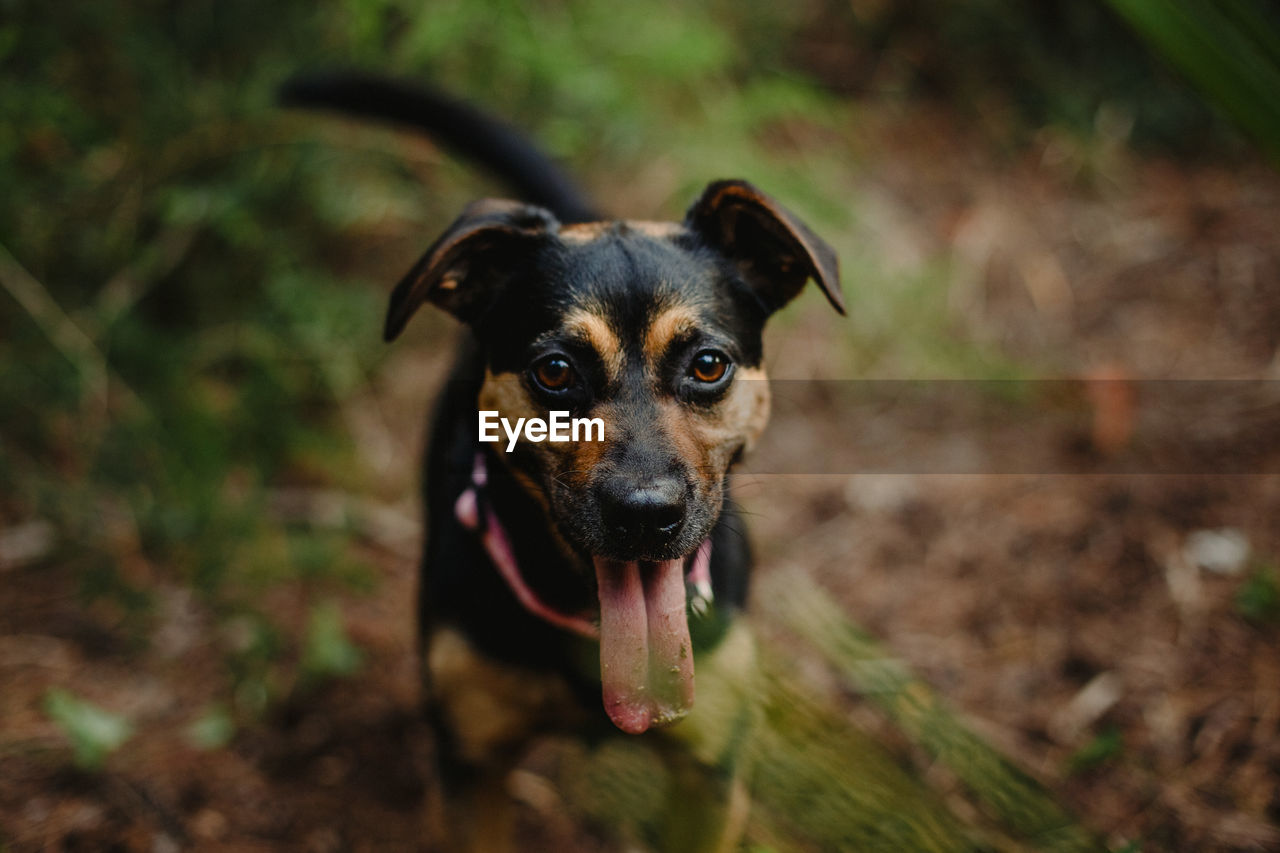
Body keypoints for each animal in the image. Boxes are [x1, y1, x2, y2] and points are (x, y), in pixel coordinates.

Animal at [281, 74, 844, 850]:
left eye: (708, 365)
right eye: (554, 371)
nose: (646, 514)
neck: (593, 620)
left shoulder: (710, 780)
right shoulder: (473, 765)